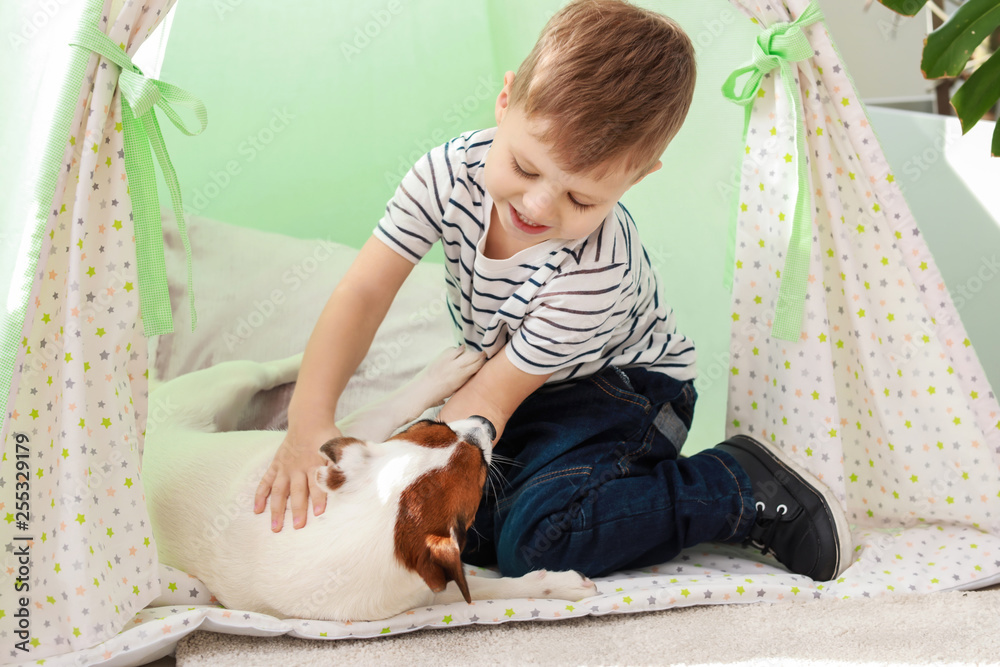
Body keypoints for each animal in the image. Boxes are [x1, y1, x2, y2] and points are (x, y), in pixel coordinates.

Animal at [145, 348, 596, 624]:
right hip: (219, 387)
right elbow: (490, 588)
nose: (486, 422)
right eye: (481, 473)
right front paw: (556, 583)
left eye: (434, 423)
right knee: (262, 369)